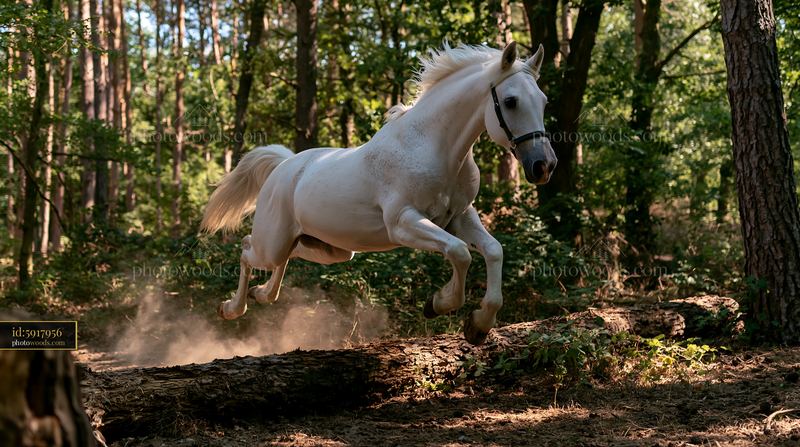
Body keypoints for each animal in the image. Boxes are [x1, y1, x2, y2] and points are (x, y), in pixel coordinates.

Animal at [200, 41, 557, 345]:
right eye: (510, 101)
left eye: (543, 101)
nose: (544, 166)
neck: (435, 147)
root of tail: (284, 165)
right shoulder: (403, 223)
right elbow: (460, 253)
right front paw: (438, 303)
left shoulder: (459, 217)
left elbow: (493, 251)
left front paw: (478, 325)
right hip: (273, 242)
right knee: (247, 249)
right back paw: (231, 308)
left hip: (328, 249)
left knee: (284, 258)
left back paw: (262, 294)